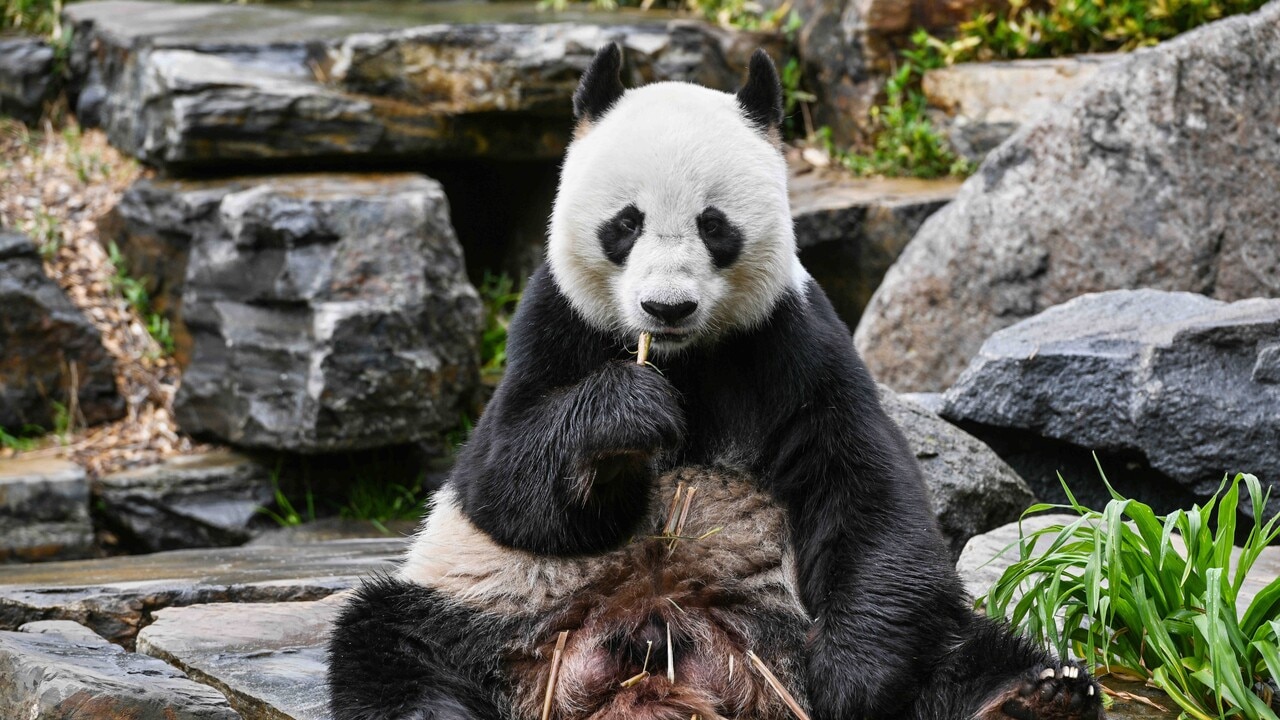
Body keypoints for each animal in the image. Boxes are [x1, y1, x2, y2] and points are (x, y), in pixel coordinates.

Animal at [325, 46, 1105, 717]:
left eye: (713, 224)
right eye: (625, 223)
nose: (666, 307)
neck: (685, 358)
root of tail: (663, 666)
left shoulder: (791, 340)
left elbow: (865, 487)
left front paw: (853, 680)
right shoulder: (552, 325)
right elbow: (504, 480)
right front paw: (626, 417)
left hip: (774, 621)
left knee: (957, 644)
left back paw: (1036, 697)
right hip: (499, 611)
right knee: (393, 643)